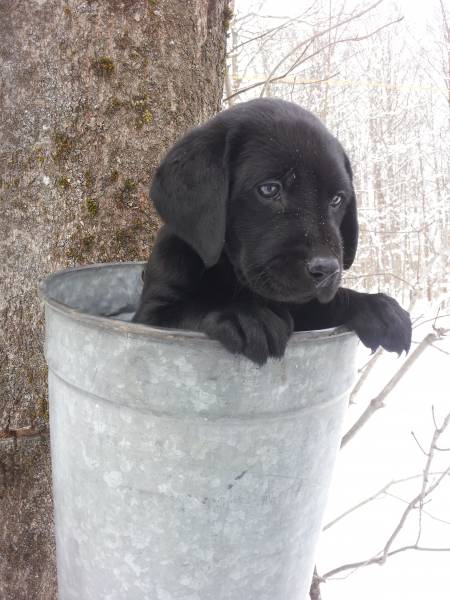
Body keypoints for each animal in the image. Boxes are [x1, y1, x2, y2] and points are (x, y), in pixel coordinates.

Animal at [134, 98, 412, 364]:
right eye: (269, 189)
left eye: (336, 199)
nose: (327, 270)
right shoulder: (152, 313)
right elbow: (195, 307)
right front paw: (244, 315)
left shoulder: (303, 306)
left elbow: (325, 304)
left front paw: (375, 306)